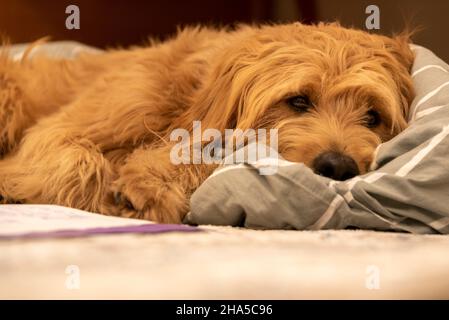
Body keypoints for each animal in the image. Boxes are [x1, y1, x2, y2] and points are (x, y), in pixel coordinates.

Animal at [0, 22, 412, 222]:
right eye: (298, 100)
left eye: (372, 116)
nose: (339, 166)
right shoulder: (59, 132)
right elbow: (79, 162)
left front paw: (148, 185)